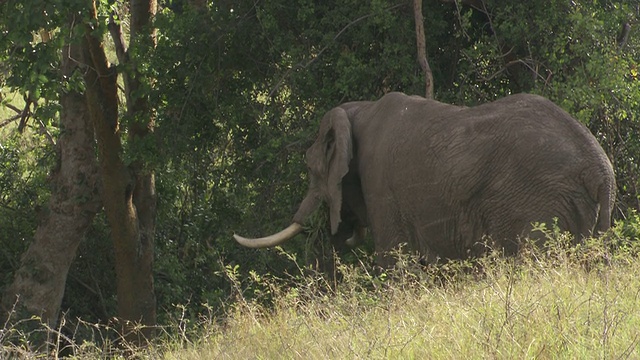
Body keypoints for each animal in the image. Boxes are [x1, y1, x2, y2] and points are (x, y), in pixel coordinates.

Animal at [234, 92, 616, 268]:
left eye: (312, 170)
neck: (360, 110)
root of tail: (601, 168)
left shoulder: (381, 184)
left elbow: (394, 261)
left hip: (537, 204)